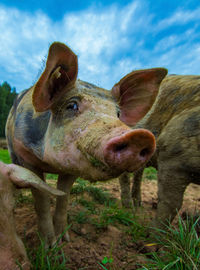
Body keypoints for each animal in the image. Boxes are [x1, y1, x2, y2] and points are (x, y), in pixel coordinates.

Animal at [5, 41, 167, 246]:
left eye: (118, 114)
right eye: (71, 105)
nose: (141, 136)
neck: (51, 164)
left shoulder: (73, 167)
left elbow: (64, 196)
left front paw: (64, 240)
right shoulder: (25, 154)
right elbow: (40, 199)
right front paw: (49, 246)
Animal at [119, 75, 200, 229]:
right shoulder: (173, 151)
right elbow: (172, 203)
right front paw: (153, 233)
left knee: (138, 173)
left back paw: (138, 204)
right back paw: (128, 208)